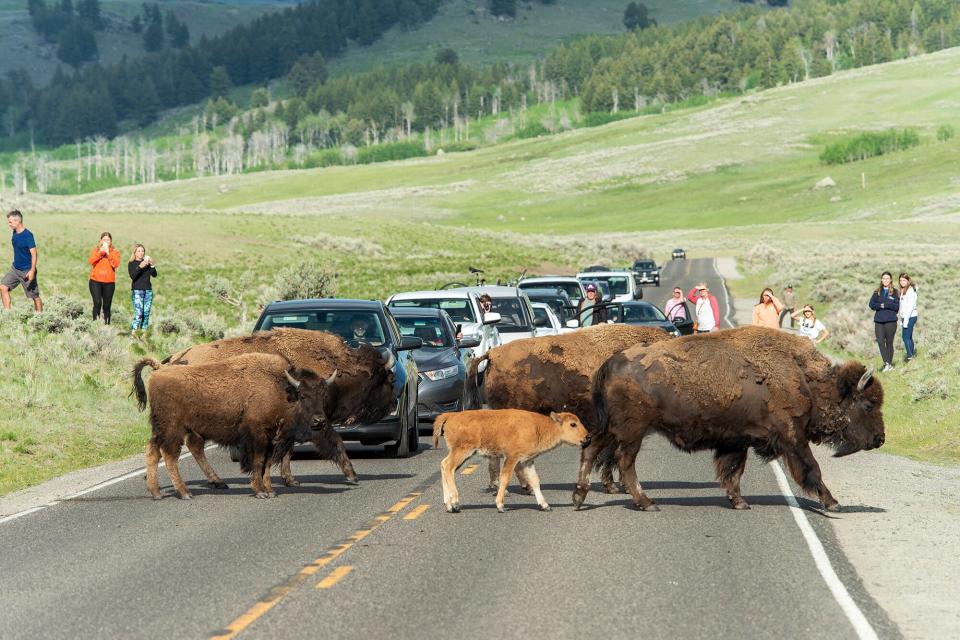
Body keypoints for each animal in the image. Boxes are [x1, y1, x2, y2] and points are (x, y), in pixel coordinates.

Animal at [131, 352, 334, 498]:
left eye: (324, 394)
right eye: (303, 395)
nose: (320, 421)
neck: (279, 386)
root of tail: (159, 370)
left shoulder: (271, 437)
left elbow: (267, 463)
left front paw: (270, 490)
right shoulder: (258, 435)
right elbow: (258, 461)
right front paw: (260, 491)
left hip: (163, 429)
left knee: (153, 451)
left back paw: (156, 492)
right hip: (173, 429)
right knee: (169, 455)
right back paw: (184, 493)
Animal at [163, 328, 396, 482]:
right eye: (386, 379)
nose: (394, 402)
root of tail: (171, 360)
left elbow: (288, 450)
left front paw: (289, 479)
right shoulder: (315, 421)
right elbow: (334, 441)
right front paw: (352, 474)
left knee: (194, 447)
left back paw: (215, 481)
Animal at [436, 412, 592, 512]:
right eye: (573, 424)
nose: (588, 437)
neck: (538, 427)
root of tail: (451, 415)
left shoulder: (527, 461)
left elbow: (535, 481)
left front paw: (545, 505)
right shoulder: (512, 457)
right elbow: (505, 478)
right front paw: (500, 505)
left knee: (444, 465)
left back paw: (448, 505)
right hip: (463, 451)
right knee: (448, 467)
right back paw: (455, 504)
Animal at [568, 328, 884, 512]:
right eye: (869, 403)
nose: (880, 439)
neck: (804, 377)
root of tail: (612, 361)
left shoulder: (736, 441)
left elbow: (733, 471)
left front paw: (739, 502)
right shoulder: (792, 436)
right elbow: (812, 469)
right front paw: (833, 503)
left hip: (613, 428)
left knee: (591, 450)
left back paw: (579, 498)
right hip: (632, 430)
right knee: (624, 462)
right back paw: (647, 503)